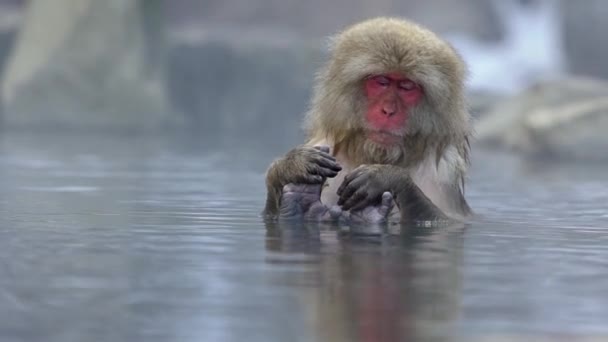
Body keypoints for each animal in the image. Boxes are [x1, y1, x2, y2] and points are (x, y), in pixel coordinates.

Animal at [264, 17, 472, 224]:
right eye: (381, 82)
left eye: (406, 87)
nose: (388, 111)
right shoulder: (322, 144)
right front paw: (289, 165)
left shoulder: (442, 174)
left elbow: (448, 221)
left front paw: (387, 177)